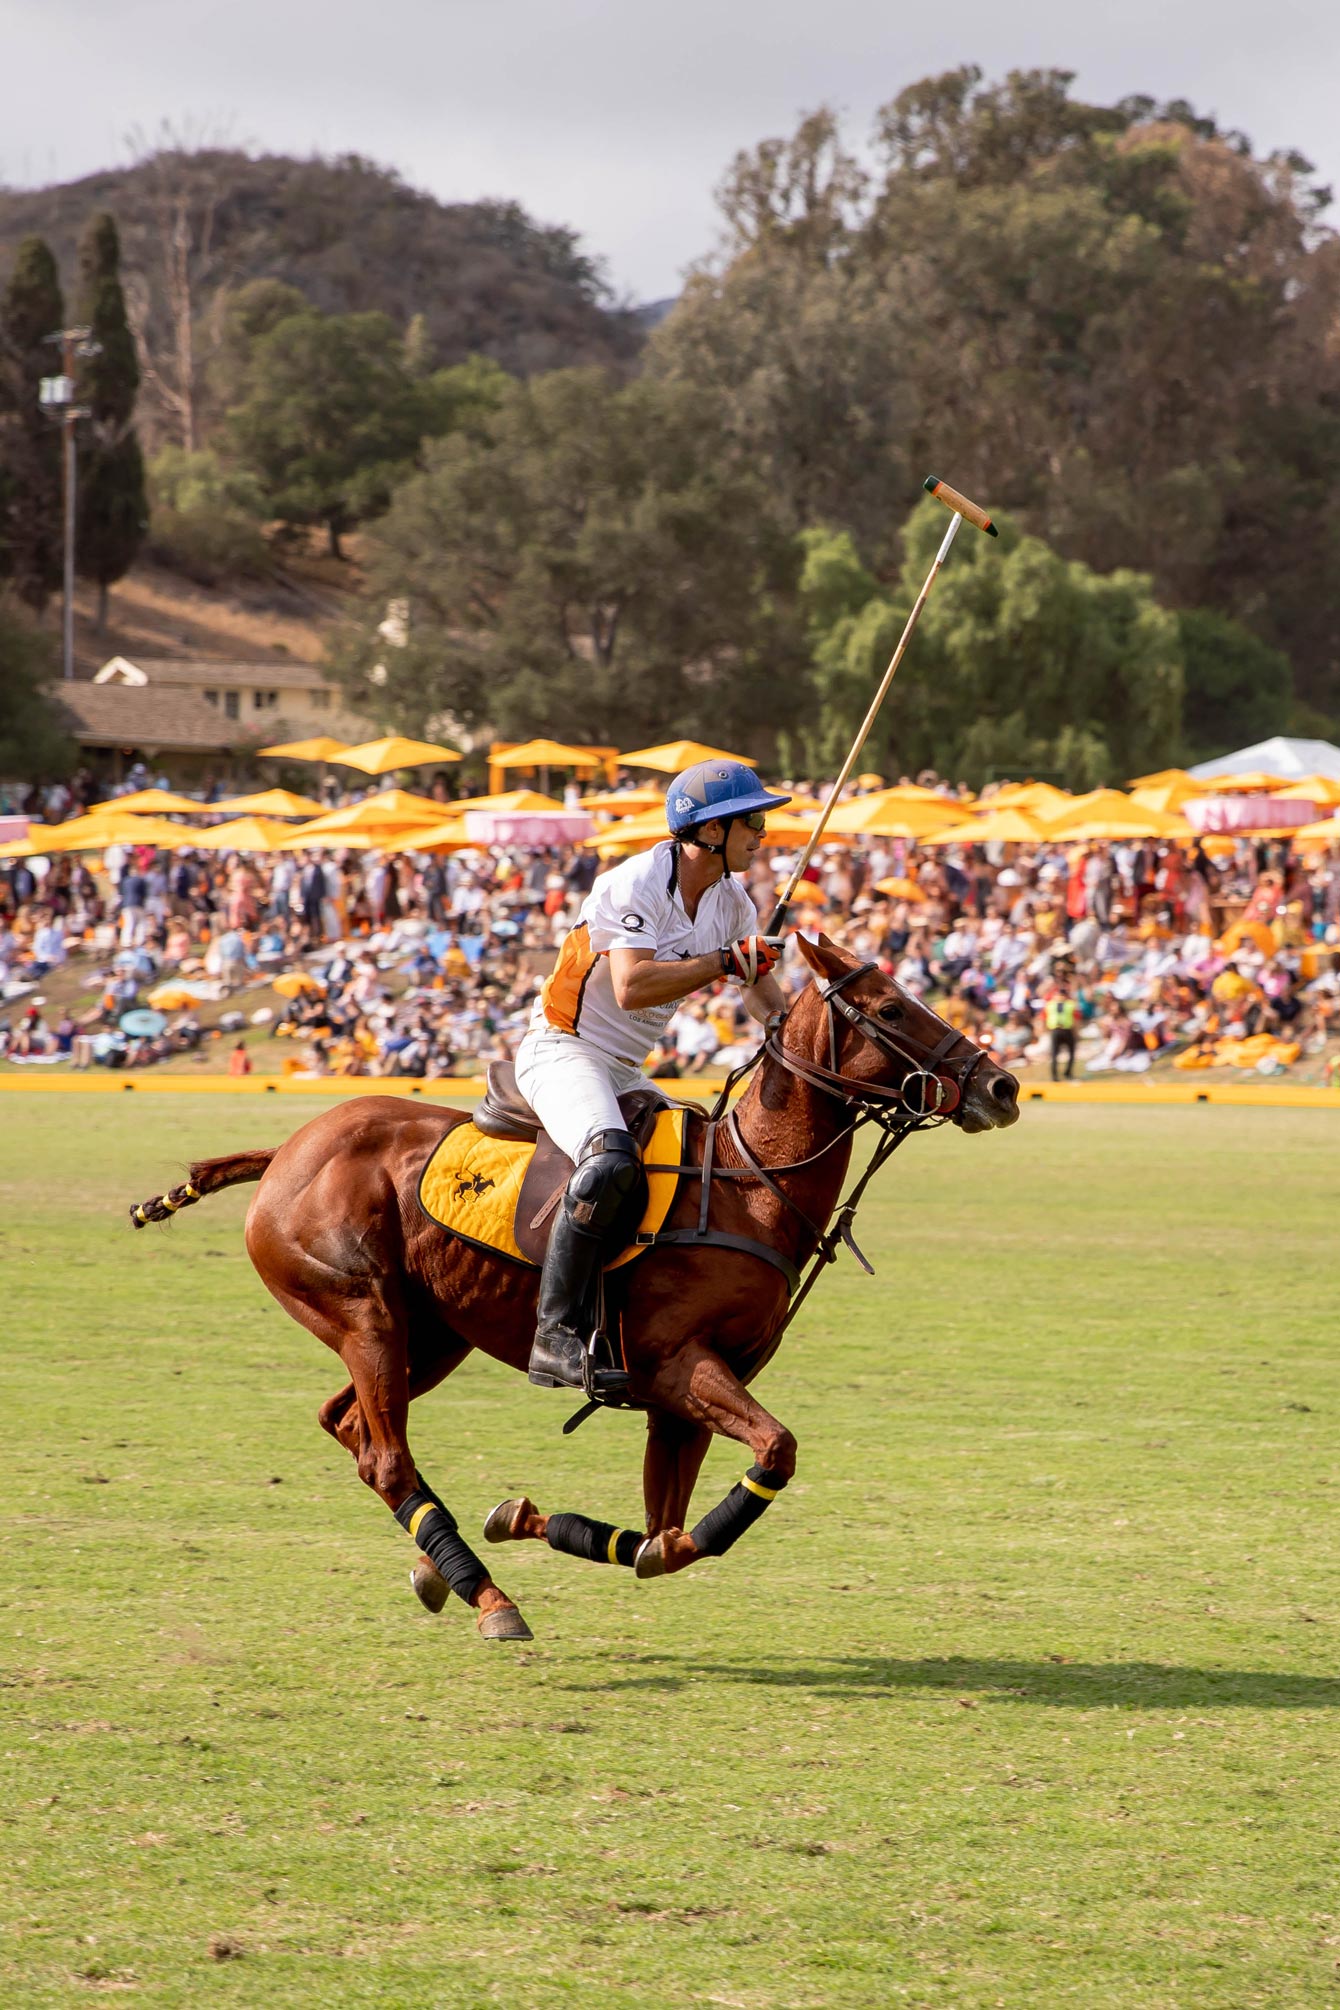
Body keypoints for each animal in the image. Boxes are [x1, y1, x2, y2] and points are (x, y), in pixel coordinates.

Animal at [133, 932, 1016, 1640]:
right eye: (893, 1009)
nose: (1001, 1087)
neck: (745, 1181)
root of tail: (287, 1147)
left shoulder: (680, 1399)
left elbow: (666, 1538)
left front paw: (525, 1517)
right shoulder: (676, 1366)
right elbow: (770, 1455)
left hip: (434, 1333)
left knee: (347, 1422)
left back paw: (436, 1569)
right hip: (363, 1312)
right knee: (383, 1456)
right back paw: (489, 1600)